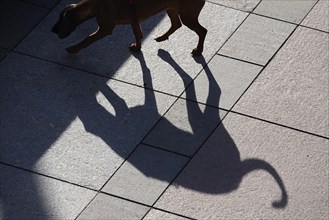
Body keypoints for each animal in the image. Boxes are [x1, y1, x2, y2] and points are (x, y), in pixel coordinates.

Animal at [51, 0, 206, 55]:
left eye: (60, 20)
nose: (53, 30)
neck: (95, 4)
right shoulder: (134, 19)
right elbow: (137, 34)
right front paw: (137, 47)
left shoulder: (105, 29)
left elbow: (87, 39)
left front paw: (73, 48)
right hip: (171, 8)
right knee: (176, 24)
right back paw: (162, 37)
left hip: (187, 15)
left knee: (202, 31)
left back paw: (198, 51)